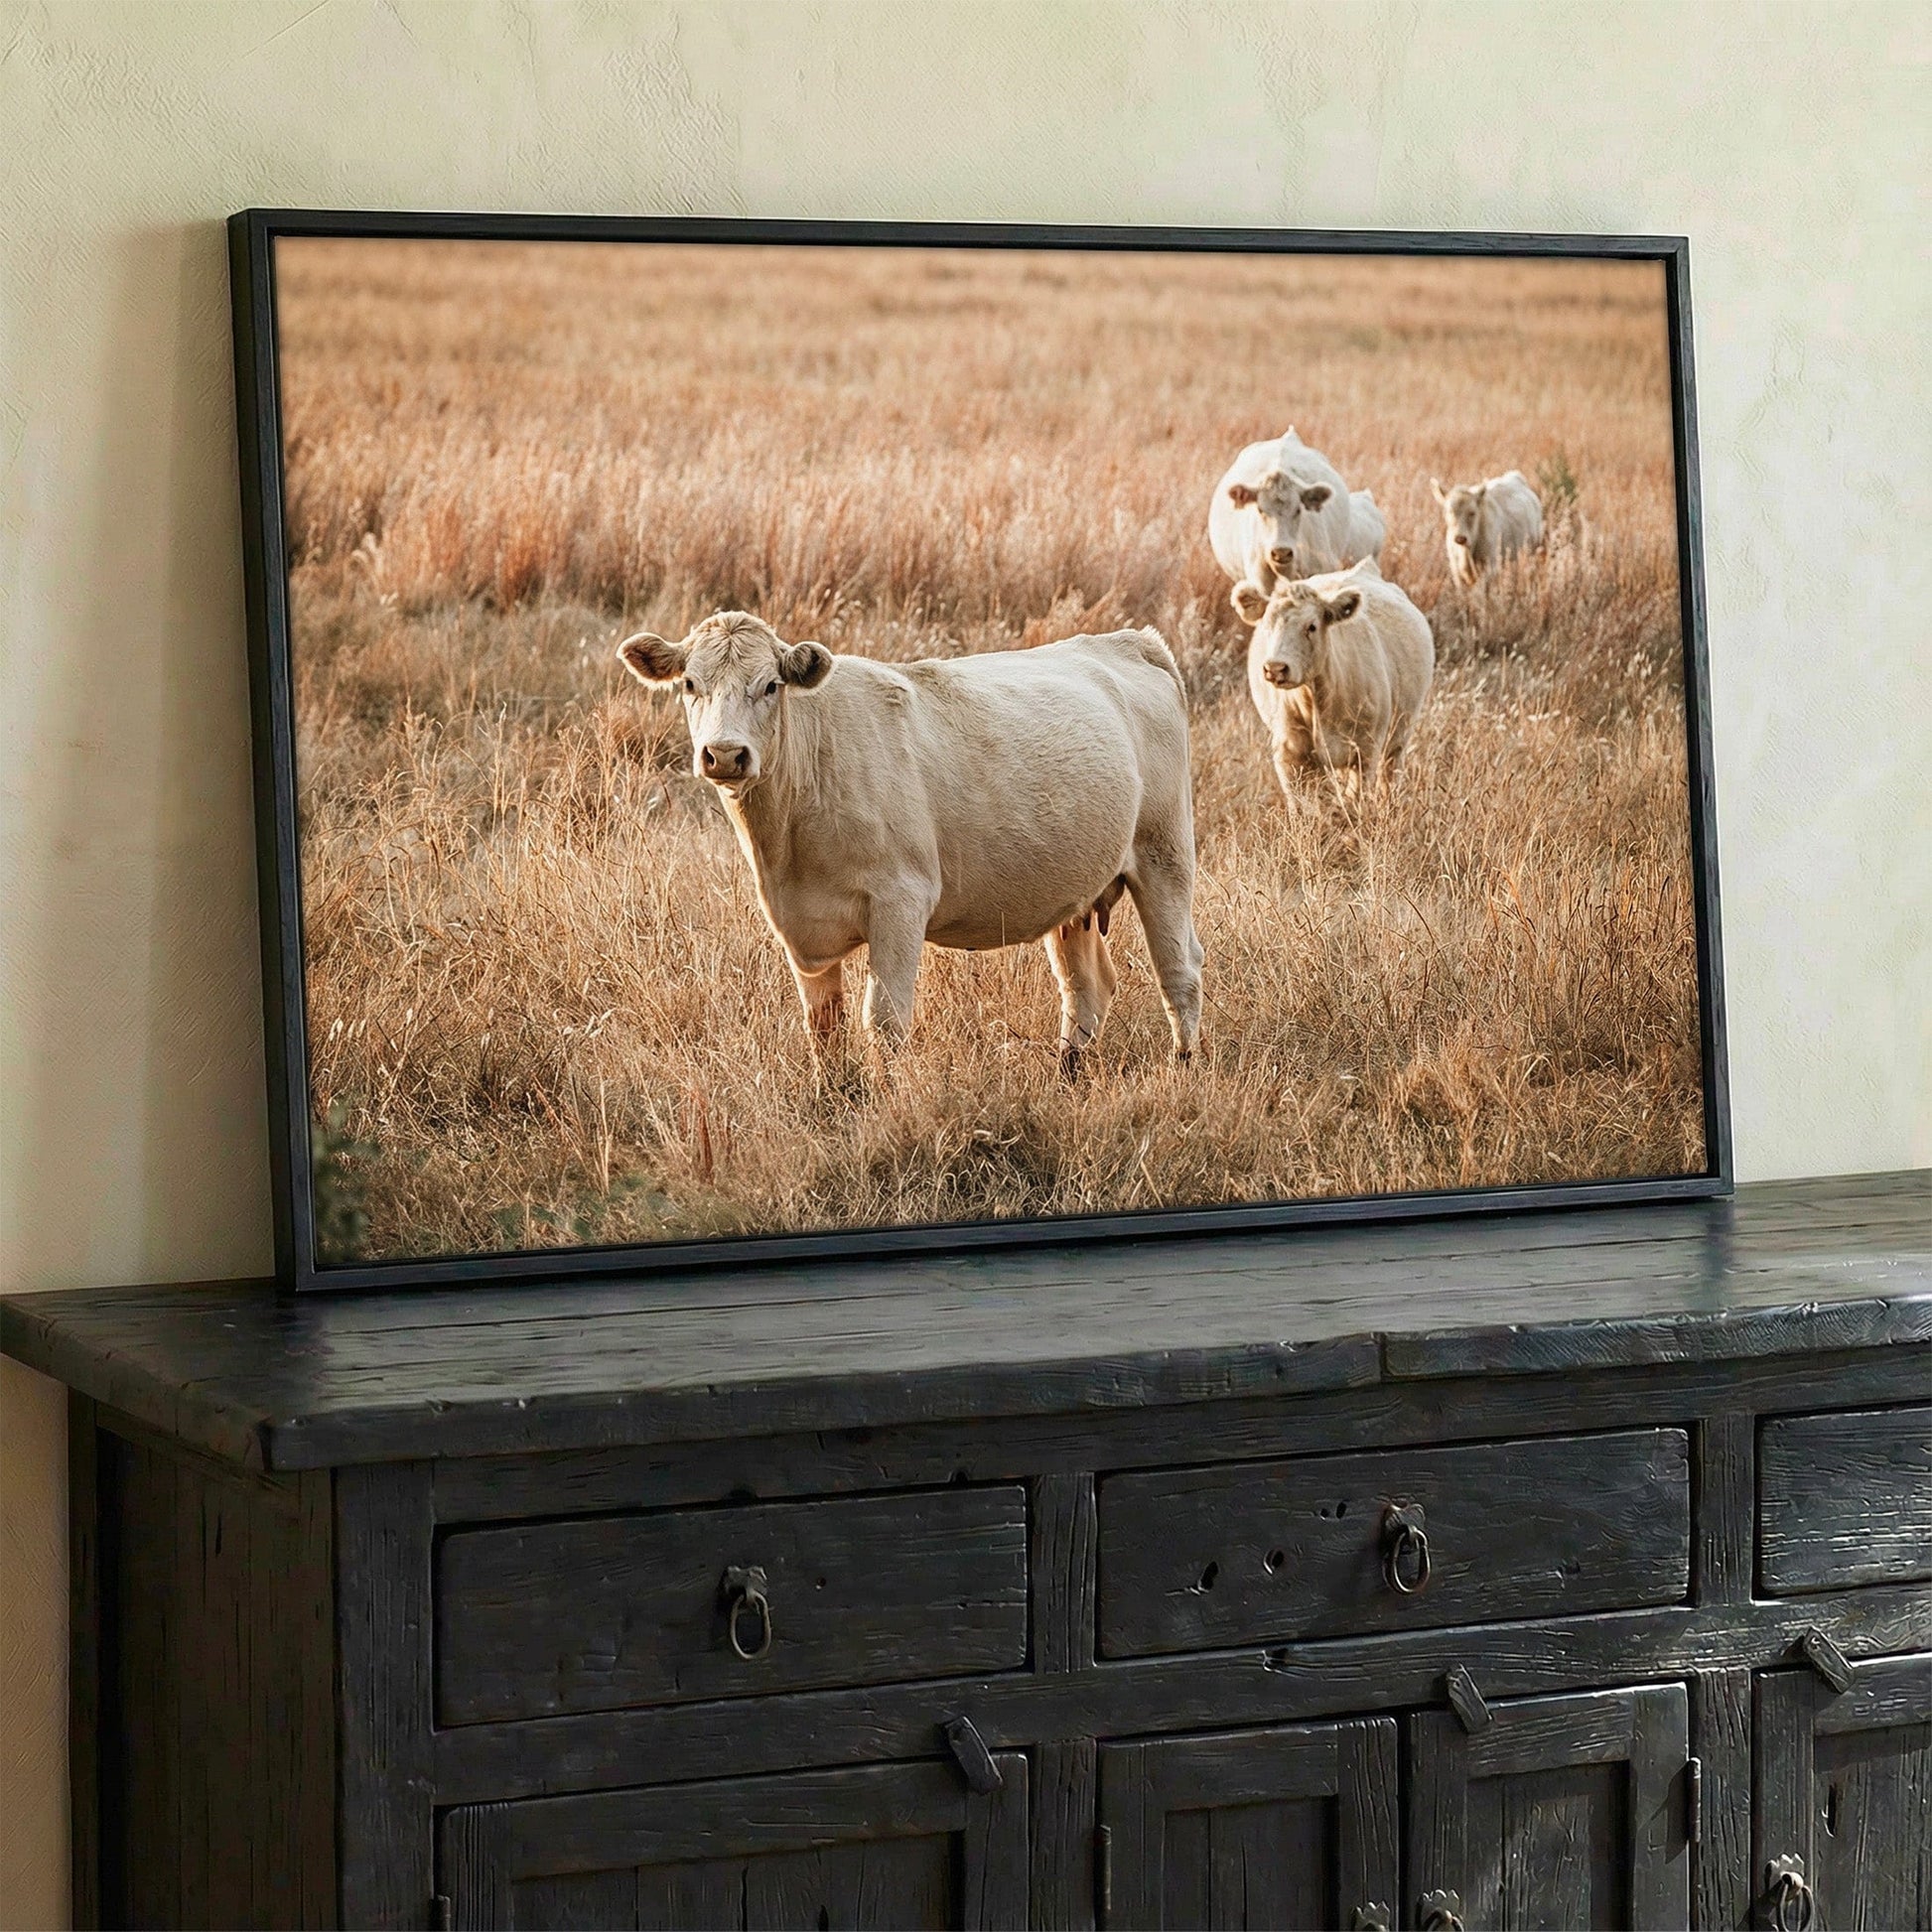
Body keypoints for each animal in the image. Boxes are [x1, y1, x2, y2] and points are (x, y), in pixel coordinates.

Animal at [616, 611, 1203, 1076]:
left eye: (770, 686)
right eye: (690, 684)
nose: (724, 753)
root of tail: (1130, 641)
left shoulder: (901, 901)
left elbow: (884, 1020)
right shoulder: (797, 924)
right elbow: (823, 1025)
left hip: (1165, 855)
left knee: (1179, 970)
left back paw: (1184, 1066)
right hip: (1074, 892)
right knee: (1086, 985)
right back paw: (1067, 1072)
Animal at [1231, 560, 1434, 797]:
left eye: (1311, 626)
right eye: (1266, 625)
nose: (1275, 668)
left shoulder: (1365, 751)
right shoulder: (1289, 754)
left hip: (1398, 737)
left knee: (1389, 775)